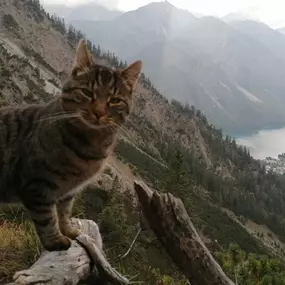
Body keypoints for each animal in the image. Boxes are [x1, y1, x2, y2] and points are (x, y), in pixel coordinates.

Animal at [0, 40, 142, 251]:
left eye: (115, 100)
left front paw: (68, 230)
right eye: (87, 92)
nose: (99, 112)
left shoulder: (69, 191)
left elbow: (64, 212)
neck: (90, 146)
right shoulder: (37, 185)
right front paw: (55, 240)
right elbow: (47, 218)